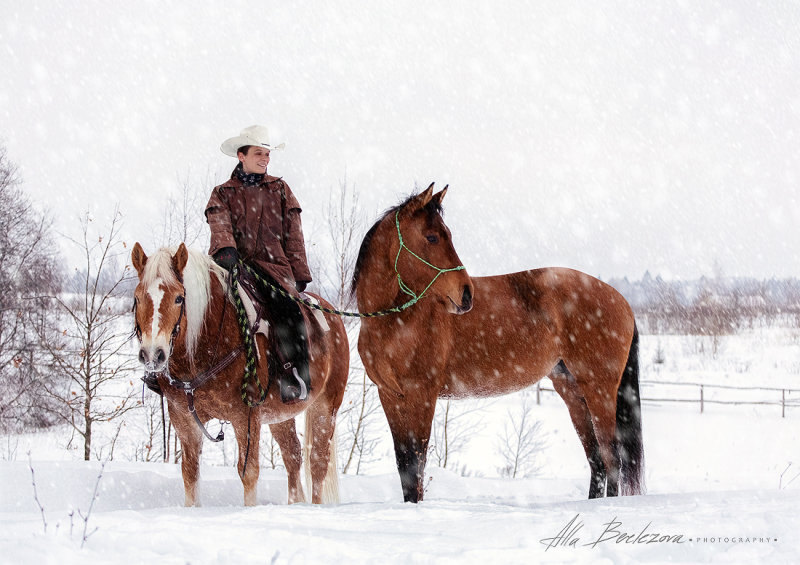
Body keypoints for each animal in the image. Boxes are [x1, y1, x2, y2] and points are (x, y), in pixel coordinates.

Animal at [132, 242, 350, 506]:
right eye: (137, 297)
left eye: (178, 298)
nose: (153, 355)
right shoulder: (183, 419)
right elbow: (190, 473)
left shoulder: (246, 417)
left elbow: (249, 472)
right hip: (280, 415)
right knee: (293, 456)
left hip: (326, 405)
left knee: (317, 463)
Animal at [354, 185, 648, 502]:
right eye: (431, 237)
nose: (466, 294)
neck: (396, 322)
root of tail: (621, 300)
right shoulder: (391, 396)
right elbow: (404, 465)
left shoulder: (422, 395)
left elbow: (415, 466)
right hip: (573, 391)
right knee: (597, 460)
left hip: (600, 390)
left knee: (612, 458)